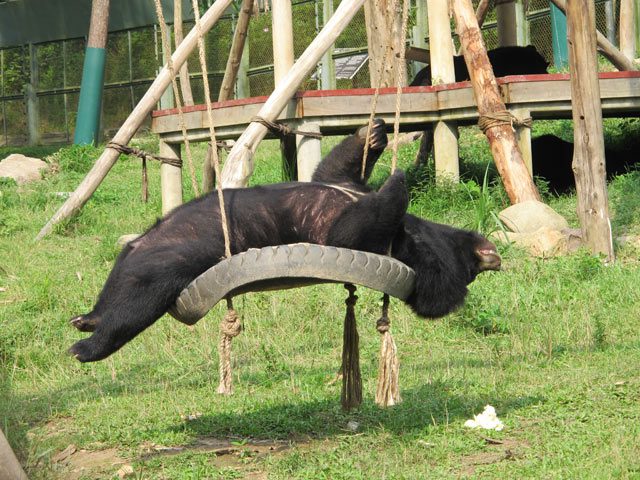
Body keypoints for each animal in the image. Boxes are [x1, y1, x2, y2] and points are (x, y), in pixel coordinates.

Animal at [69, 121, 500, 364]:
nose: (490, 256)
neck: (410, 238)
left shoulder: (364, 241)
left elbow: (349, 231)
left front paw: (397, 180)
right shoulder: (347, 189)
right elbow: (330, 169)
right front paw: (373, 133)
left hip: (174, 266)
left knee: (136, 304)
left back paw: (87, 343)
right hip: (140, 252)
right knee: (122, 281)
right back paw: (88, 317)